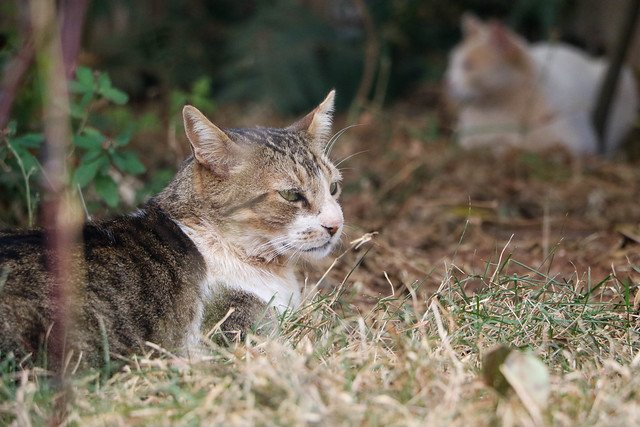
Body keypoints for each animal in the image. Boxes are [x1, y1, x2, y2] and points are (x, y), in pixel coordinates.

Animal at [442, 14, 636, 156]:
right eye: (451, 63)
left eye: (468, 66)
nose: (447, 81)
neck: (498, 108)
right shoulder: (465, 137)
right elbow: (471, 143)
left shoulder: (578, 142)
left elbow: (524, 144)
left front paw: (501, 145)